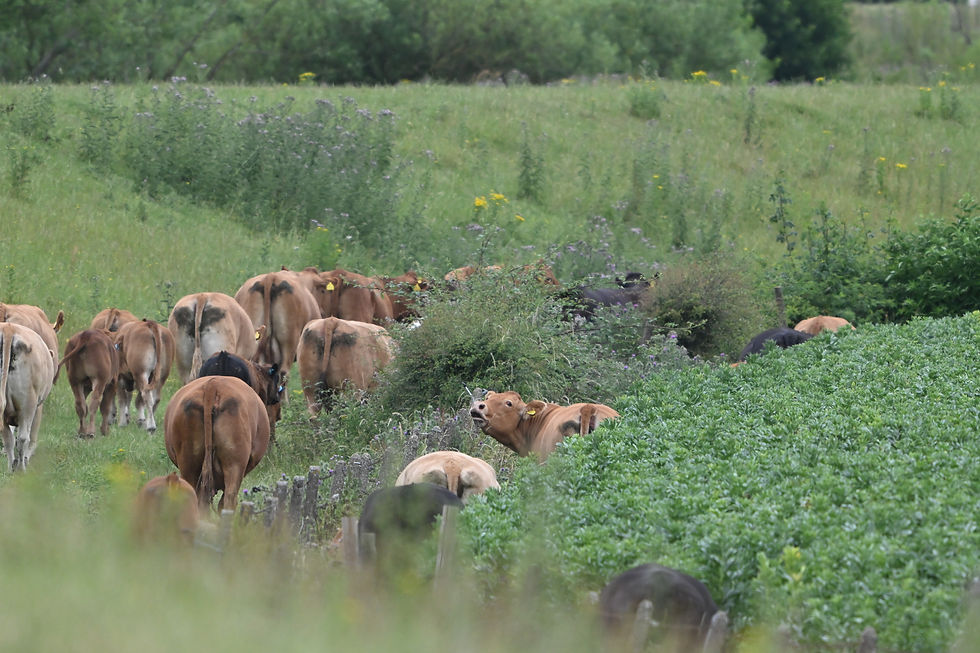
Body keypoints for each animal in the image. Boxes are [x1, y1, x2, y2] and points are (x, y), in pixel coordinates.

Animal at [0, 323, 55, 471]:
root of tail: (9, 328)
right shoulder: (38, 407)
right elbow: (32, 438)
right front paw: (26, 459)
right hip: (28, 403)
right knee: (23, 438)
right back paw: (21, 469)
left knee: (8, 438)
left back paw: (11, 468)